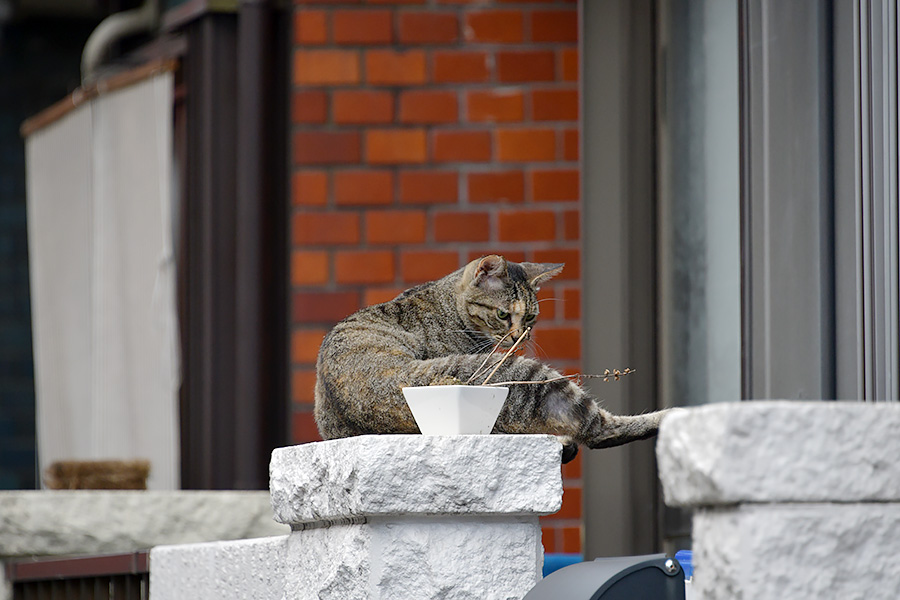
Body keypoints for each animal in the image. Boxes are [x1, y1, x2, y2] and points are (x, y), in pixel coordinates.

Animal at [312, 253, 664, 460]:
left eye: (531, 317)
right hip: (523, 377)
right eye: (502, 314)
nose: (520, 337)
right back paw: (666, 416)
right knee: (600, 431)